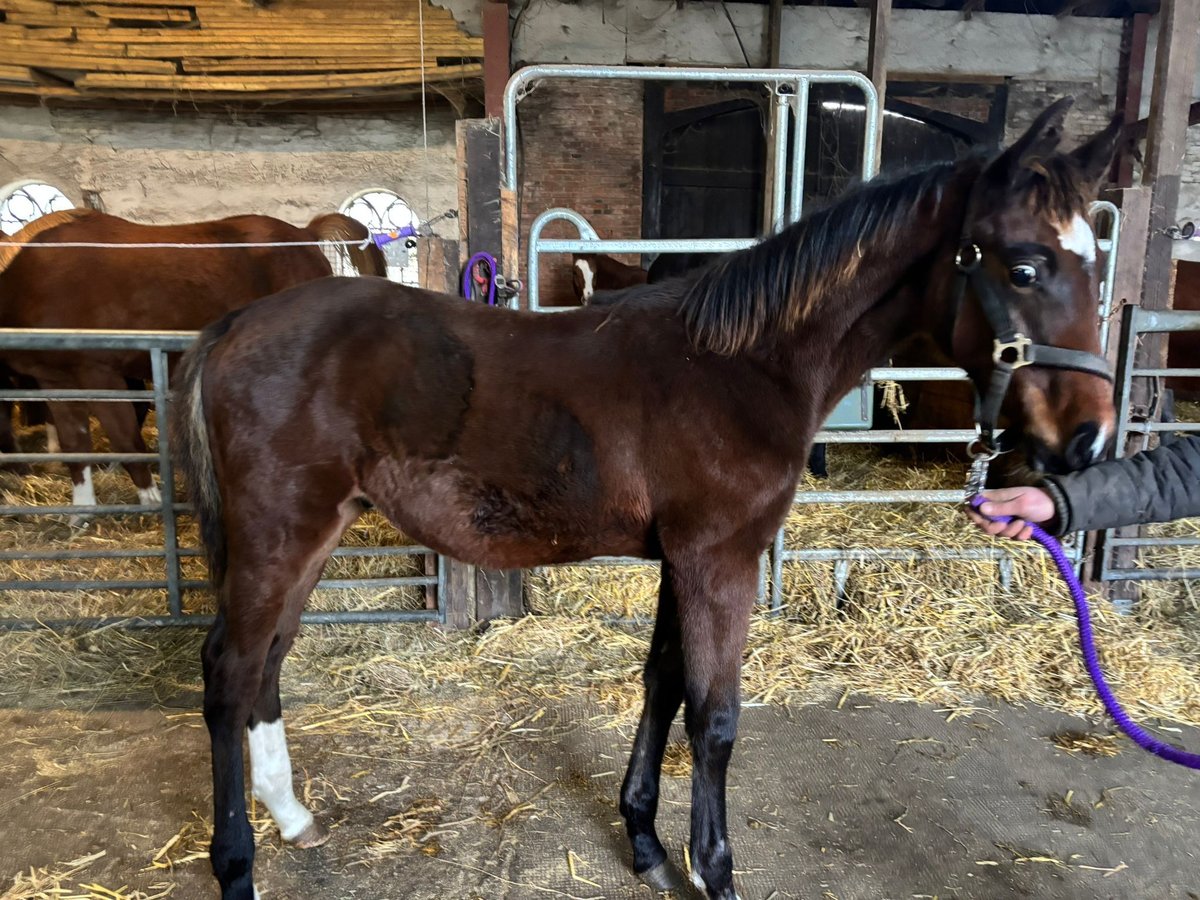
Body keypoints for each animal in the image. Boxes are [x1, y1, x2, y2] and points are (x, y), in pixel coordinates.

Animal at [0, 207, 384, 511]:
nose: (13, 466)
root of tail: (305, 234)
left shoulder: (100, 374)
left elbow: (127, 440)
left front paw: (151, 501)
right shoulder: (56, 380)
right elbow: (75, 445)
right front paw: (82, 509)